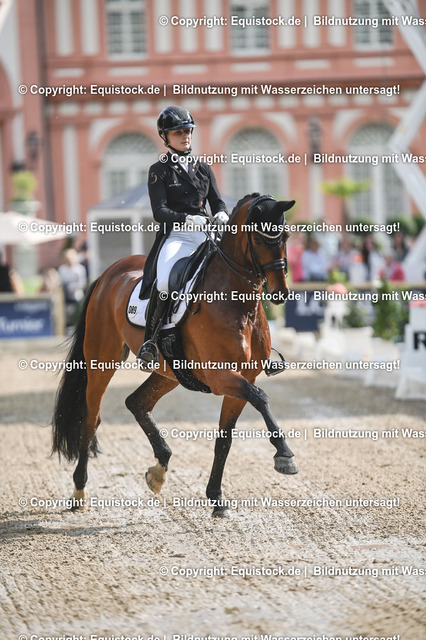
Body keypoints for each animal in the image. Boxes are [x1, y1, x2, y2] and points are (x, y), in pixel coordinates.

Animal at [52, 193, 298, 517]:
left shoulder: (243, 378)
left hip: (169, 372)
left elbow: (225, 439)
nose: (280, 293)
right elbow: (261, 398)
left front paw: (216, 499)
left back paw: (159, 469)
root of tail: (107, 274)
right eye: (258, 237)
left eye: (286, 236)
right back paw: (79, 491)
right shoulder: (222, 376)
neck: (237, 302)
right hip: (101, 361)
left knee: (136, 403)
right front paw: (284, 455)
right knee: (90, 420)